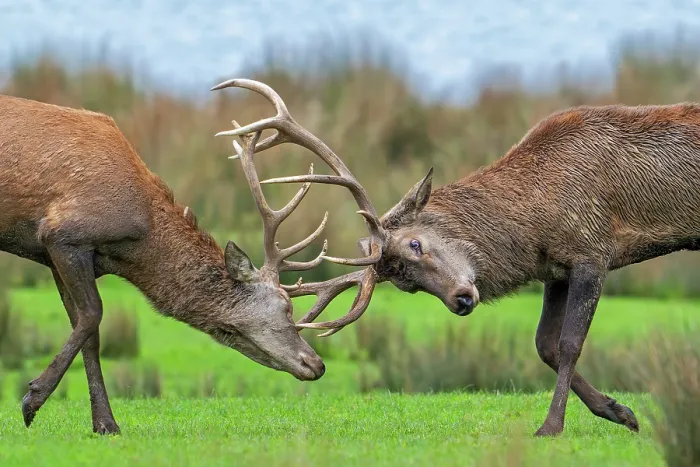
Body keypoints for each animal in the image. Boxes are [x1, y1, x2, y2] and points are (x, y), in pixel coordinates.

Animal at [0, 82, 381, 435]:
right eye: (287, 307)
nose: (315, 363)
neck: (134, 242)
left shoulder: (57, 254)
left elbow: (86, 331)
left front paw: (105, 424)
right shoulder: (63, 234)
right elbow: (93, 315)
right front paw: (31, 400)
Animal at [270, 97, 700, 437]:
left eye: (415, 244)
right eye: (407, 285)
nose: (461, 299)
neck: (538, 221)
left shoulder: (592, 251)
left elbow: (570, 344)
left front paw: (550, 427)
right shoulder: (556, 268)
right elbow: (545, 345)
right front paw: (620, 411)